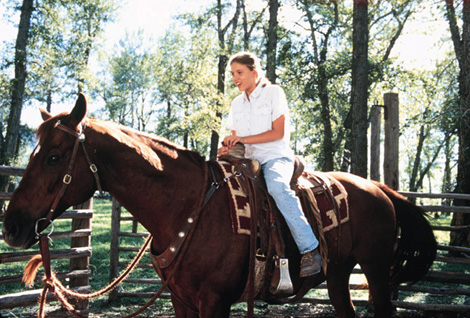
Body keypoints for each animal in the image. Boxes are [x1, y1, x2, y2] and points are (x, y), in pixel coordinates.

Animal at [0, 94, 436, 318]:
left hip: (376, 271)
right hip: (340, 274)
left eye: (53, 156)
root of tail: (378, 188)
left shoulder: (215, 302)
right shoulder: (182, 300)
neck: (187, 207)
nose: (12, 226)